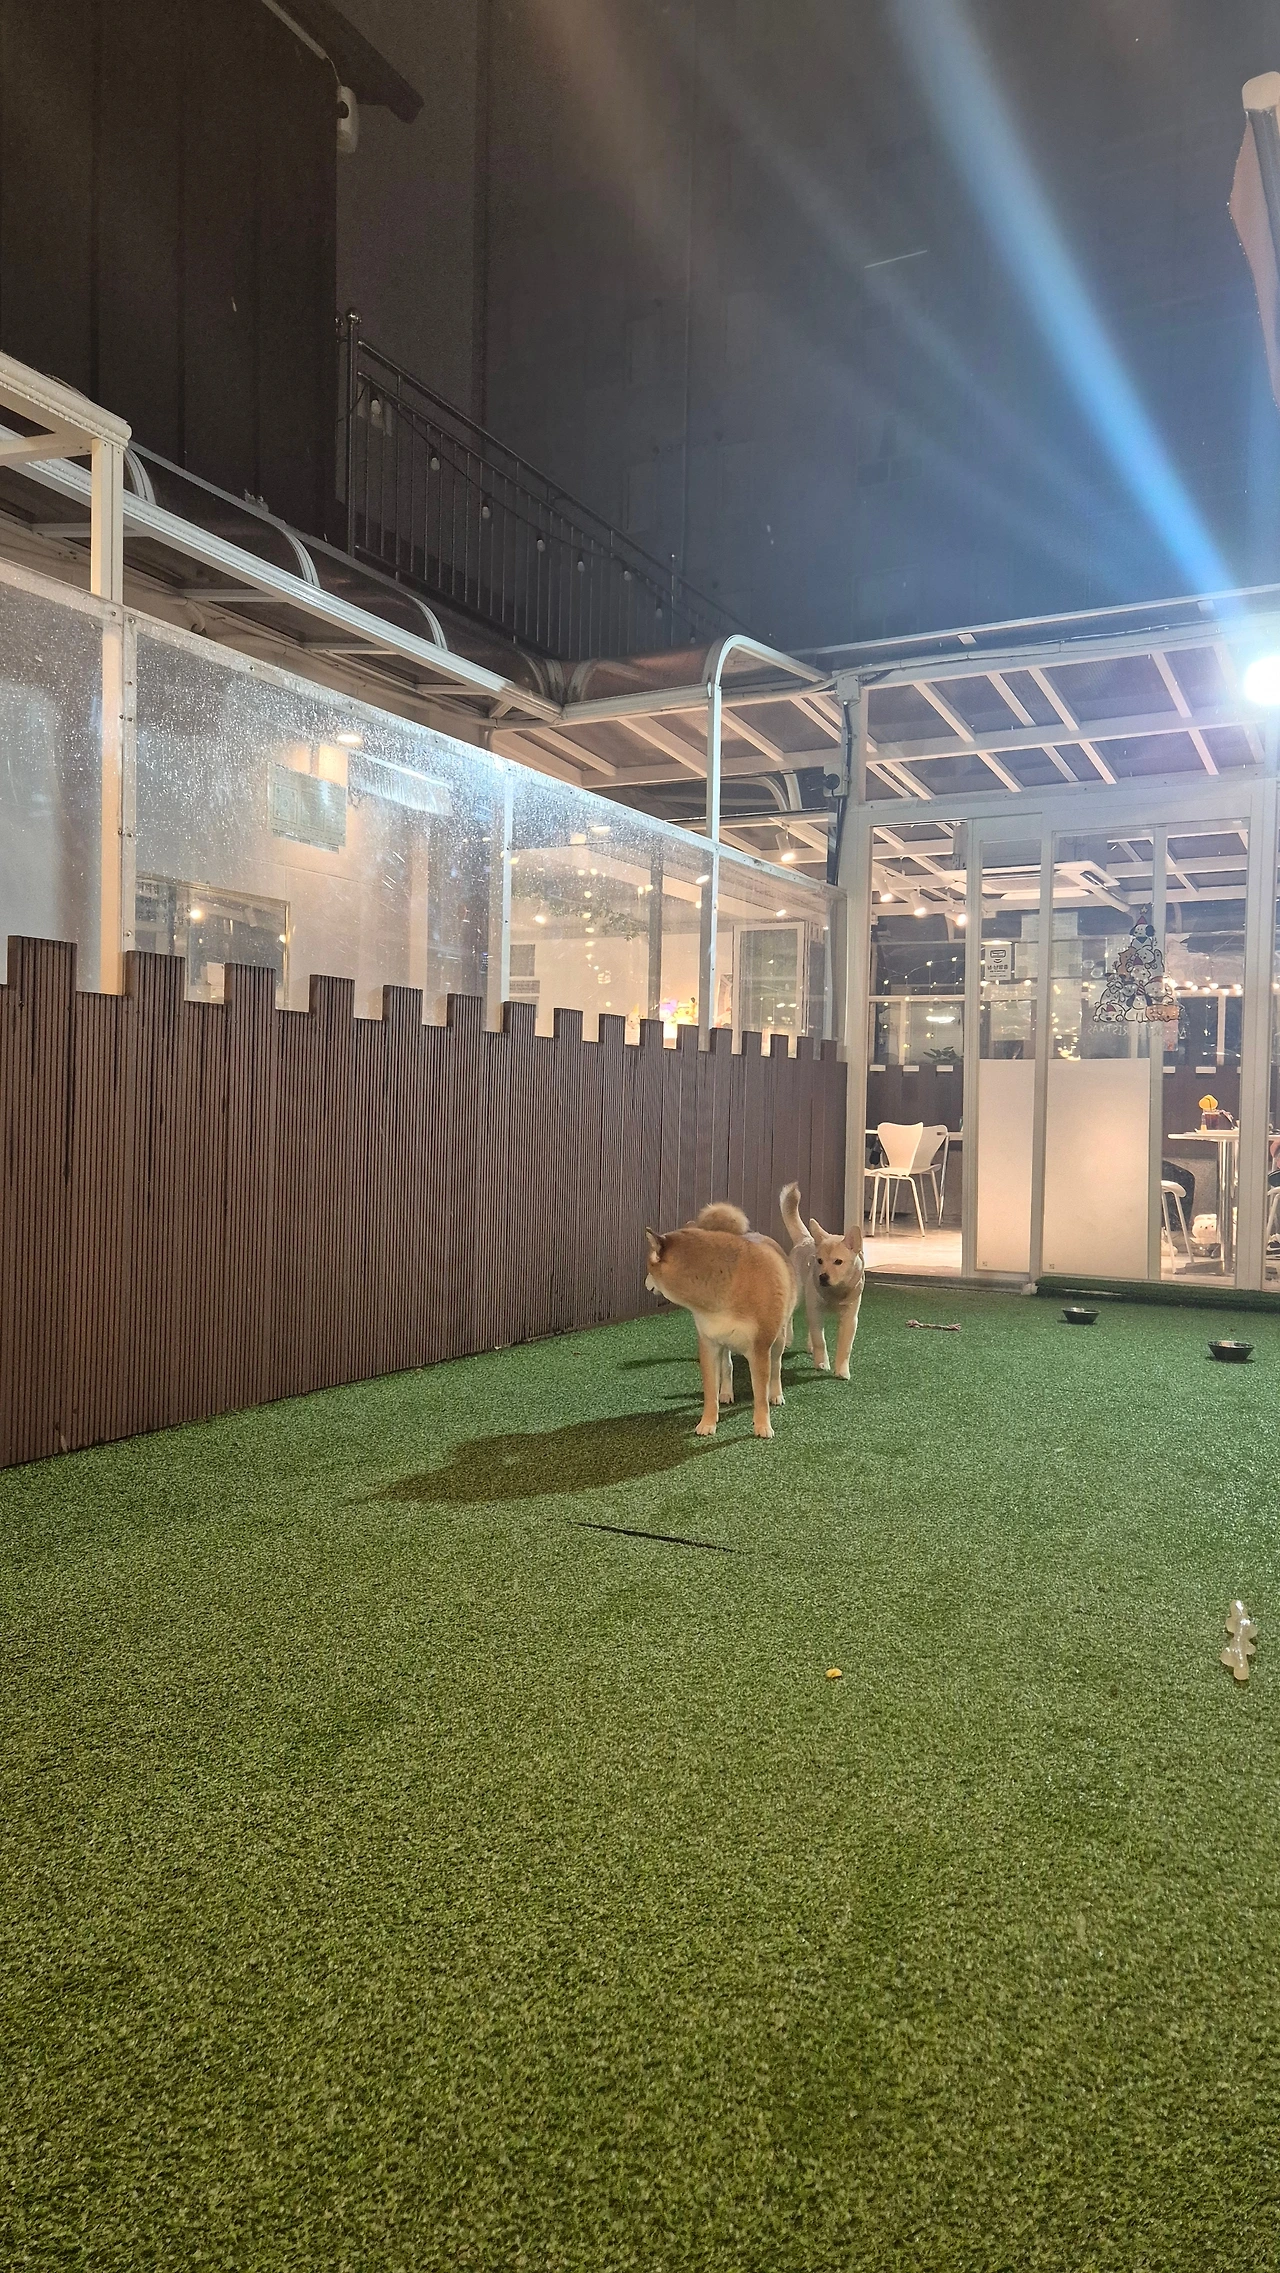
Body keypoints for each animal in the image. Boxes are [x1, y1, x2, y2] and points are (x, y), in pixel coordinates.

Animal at [644, 1202, 793, 1438]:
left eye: (648, 1267)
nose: (645, 1282)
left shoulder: (760, 1349)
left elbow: (760, 1393)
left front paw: (762, 1425)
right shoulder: (709, 1344)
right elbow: (709, 1391)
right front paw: (707, 1422)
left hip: (778, 1339)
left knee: (776, 1366)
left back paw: (776, 1394)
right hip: (724, 1342)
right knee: (728, 1366)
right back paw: (726, 1393)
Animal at [780, 1182, 865, 1380]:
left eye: (838, 1262)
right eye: (819, 1261)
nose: (822, 1277)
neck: (836, 1292)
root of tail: (806, 1238)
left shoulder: (850, 1318)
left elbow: (845, 1347)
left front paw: (842, 1371)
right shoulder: (816, 1310)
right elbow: (821, 1340)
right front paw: (822, 1363)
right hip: (798, 1297)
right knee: (791, 1319)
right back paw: (787, 1339)